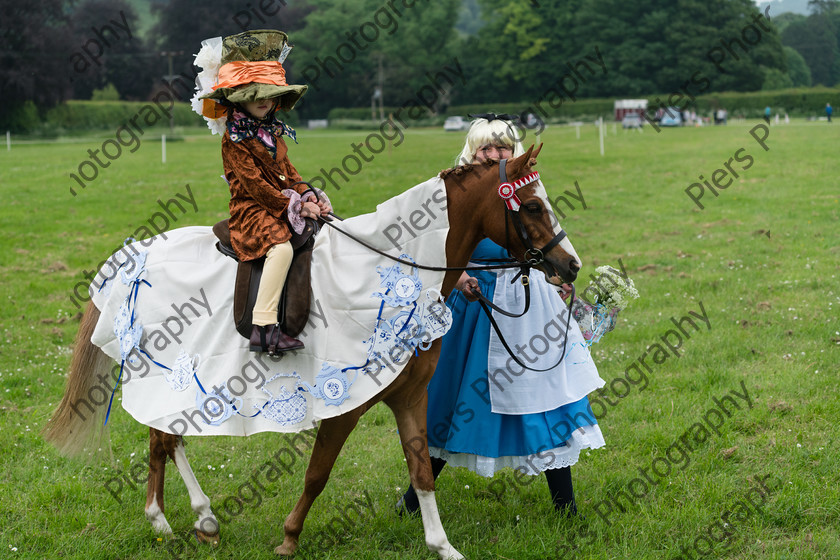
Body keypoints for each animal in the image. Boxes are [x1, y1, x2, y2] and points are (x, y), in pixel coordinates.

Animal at [44, 145, 576, 560]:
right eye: (531, 206)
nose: (569, 266)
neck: (396, 273)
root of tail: (135, 255)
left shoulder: (409, 397)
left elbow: (423, 469)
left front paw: (442, 545)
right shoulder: (347, 402)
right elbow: (317, 473)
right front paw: (289, 538)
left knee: (166, 439)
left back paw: (196, 519)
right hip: (164, 374)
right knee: (164, 440)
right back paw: (172, 518)